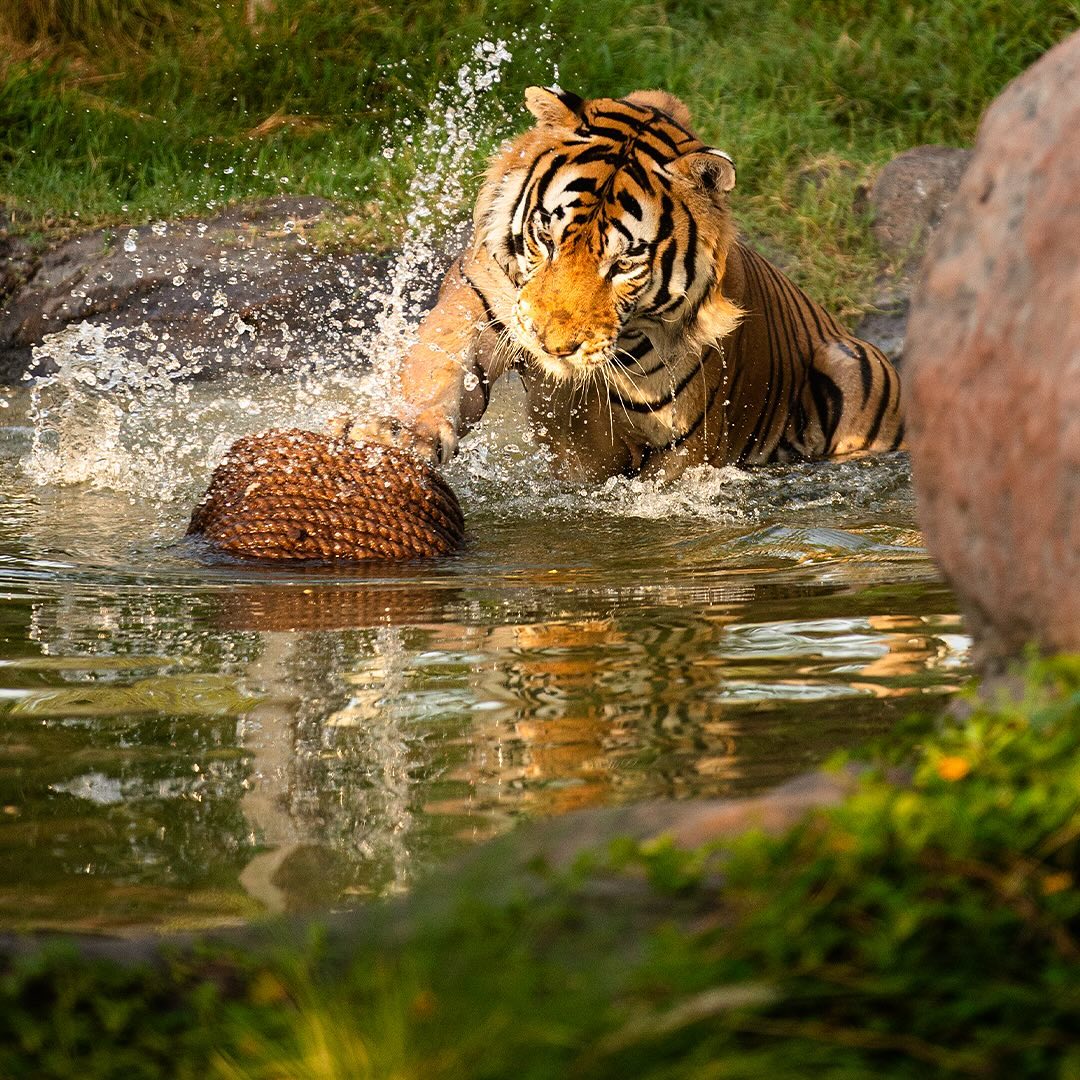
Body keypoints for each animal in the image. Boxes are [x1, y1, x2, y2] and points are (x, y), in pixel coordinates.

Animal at [333, 86, 904, 482]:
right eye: (547, 237)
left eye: (625, 263)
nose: (551, 345)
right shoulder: (481, 303)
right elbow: (439, 372)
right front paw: (393, 434)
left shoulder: (683, 449)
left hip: (853, 363)